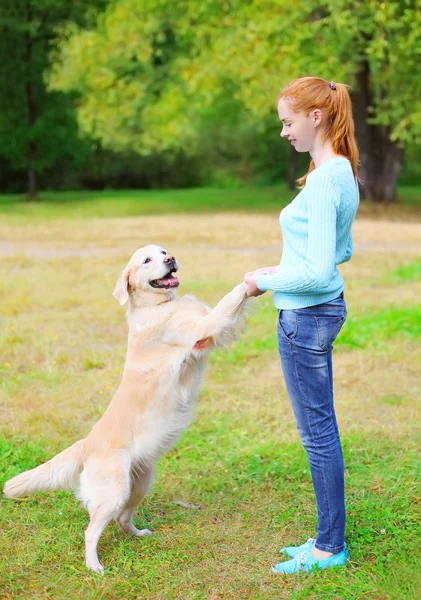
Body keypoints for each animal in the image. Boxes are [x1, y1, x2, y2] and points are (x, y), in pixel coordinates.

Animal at [3, 243, 248, 572]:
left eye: (163, 251)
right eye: (147, 260)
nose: (171, 259)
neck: (156, 306)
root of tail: (86, 443)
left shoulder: (205, 337)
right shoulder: (203, 327)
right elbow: (231, 299)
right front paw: (254, 280)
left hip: (140, 484)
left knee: (122, 518)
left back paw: (138, 534)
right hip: (114, 492)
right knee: (91, 530)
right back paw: (94, 566)